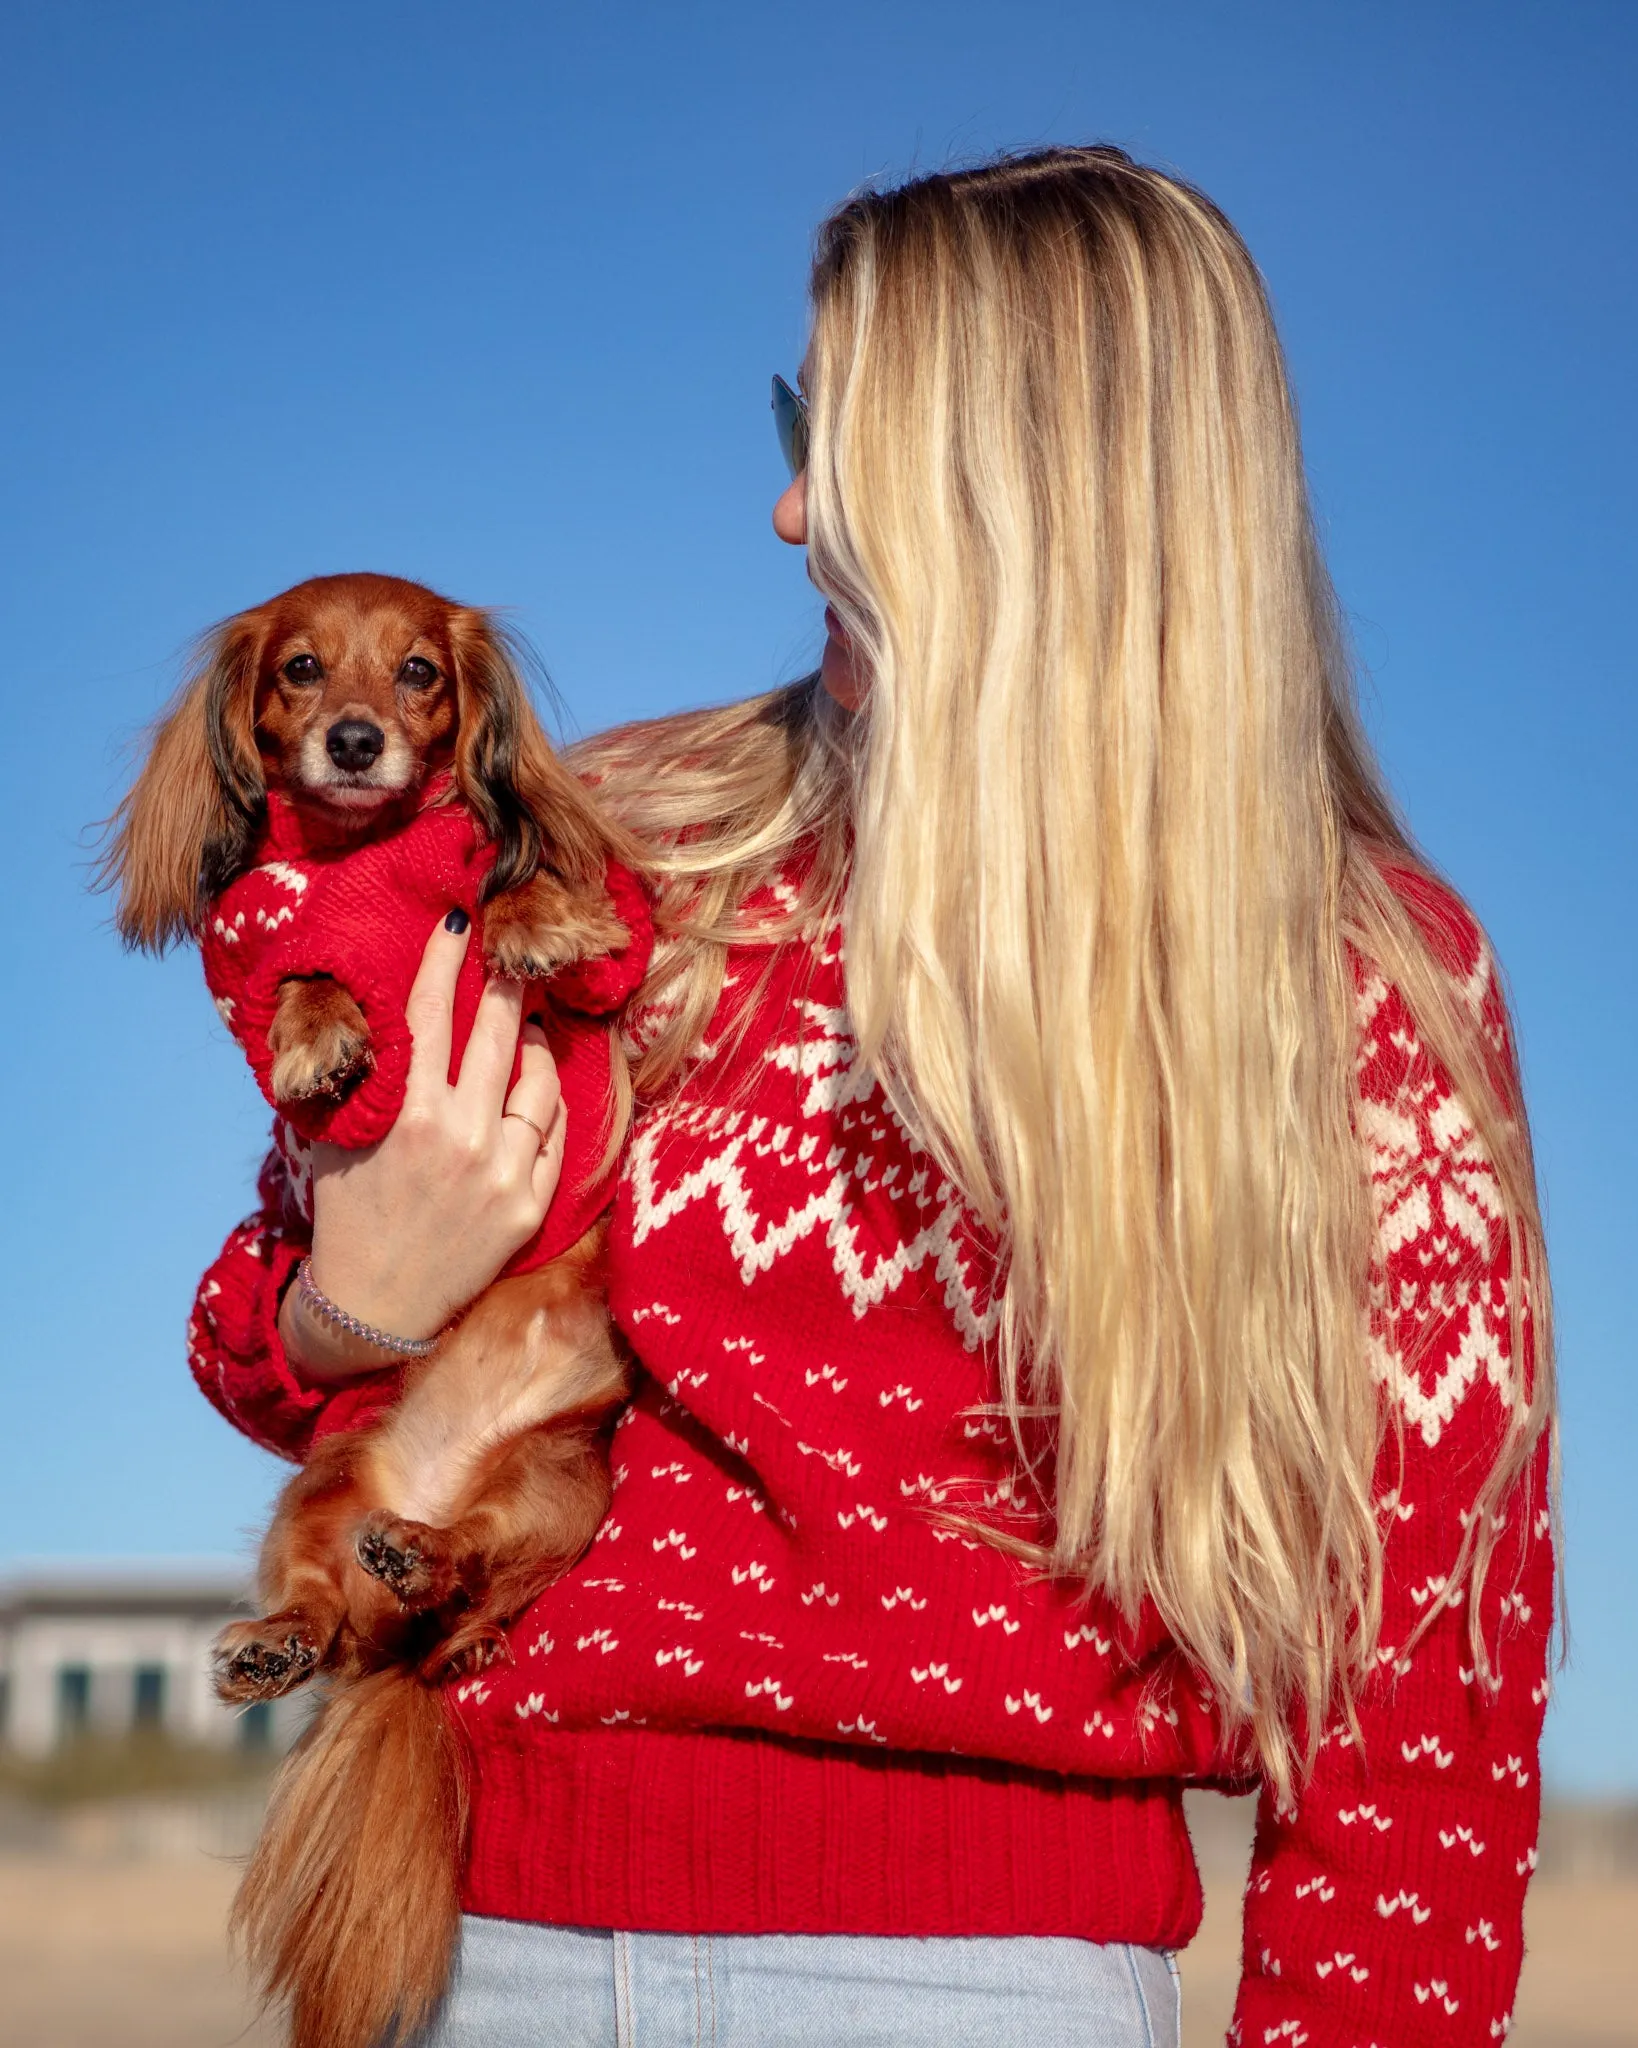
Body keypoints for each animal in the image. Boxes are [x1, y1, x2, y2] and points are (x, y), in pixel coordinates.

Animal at [102, 573, 647, 2048]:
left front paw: (529, 916)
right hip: (313, 1499)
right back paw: (279, 1643)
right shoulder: (258, 972)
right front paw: (319, 1033)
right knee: (333, 1616)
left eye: (417, 671)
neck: (368, 863)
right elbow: (299, 975)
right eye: (299, 668)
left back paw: (431, 1567)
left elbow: (535, 901)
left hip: (564, 1495)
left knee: (468, 1582)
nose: (354, 741)